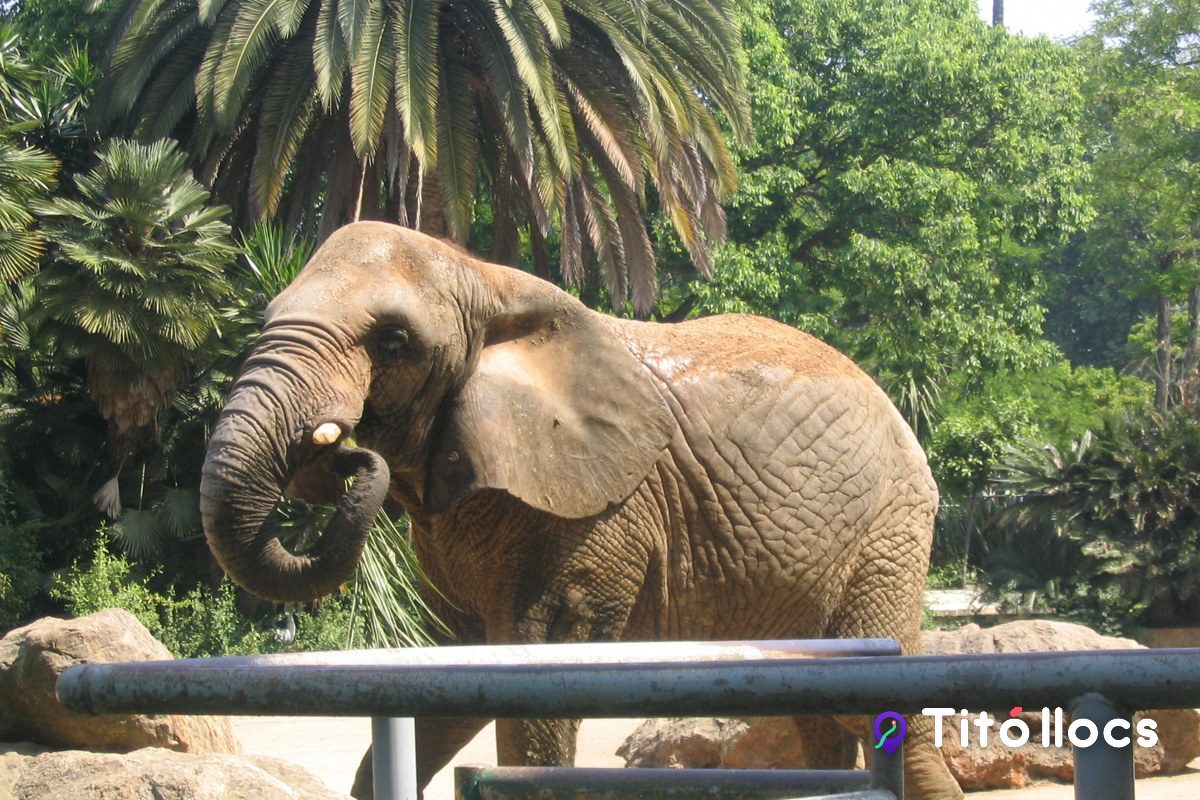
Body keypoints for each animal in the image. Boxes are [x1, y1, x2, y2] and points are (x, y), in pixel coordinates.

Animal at [199, 221, 962, 800]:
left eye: (392, 342)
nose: (342, 450)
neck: (485, 280)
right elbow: (451, 672)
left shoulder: (592, 516)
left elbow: (534, 678)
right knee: (823, 713)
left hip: (887, 532)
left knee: (875, 705)